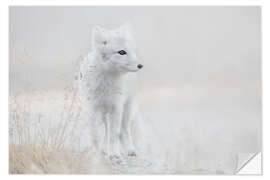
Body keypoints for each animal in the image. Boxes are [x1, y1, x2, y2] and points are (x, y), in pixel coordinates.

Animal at [78, 25, 143, 159]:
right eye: (122, 52)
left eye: (133, 51)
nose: (140, 65)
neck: (106, 83)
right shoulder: (94, 108)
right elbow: (99, 133)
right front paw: (100, 152)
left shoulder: (116, 107)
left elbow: (114, 135)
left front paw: (114, 154)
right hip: (104, 113)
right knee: (106, 130)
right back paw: (104, 148)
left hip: (127, 109)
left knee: (123, 130)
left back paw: (129, 150)